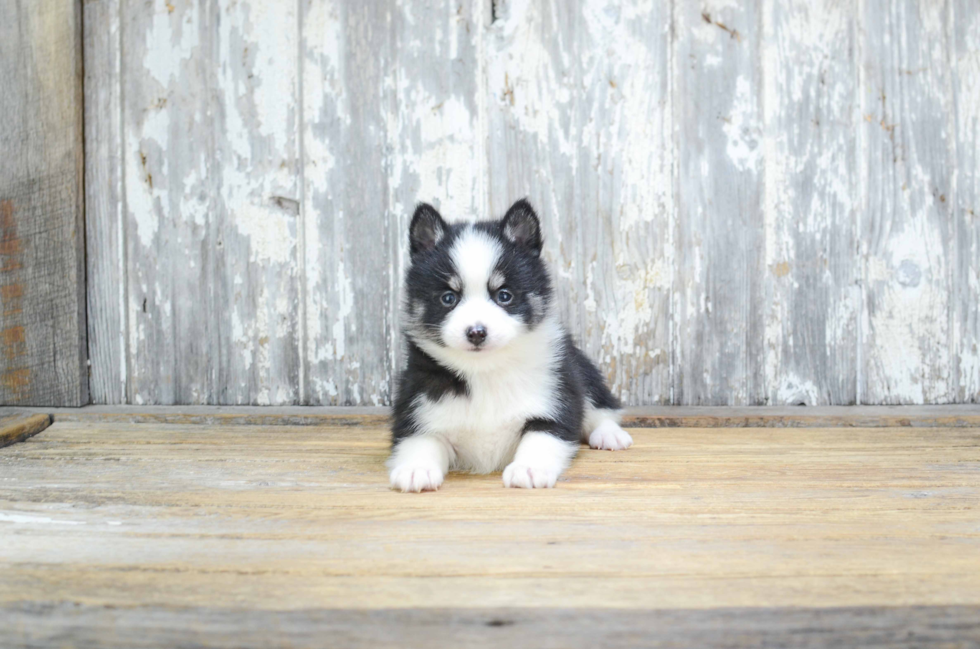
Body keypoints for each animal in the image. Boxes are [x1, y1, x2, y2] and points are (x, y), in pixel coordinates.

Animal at [386, 197, 632, 492]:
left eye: (504, 296)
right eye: (448, 298)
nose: (476, 332)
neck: (485, 372)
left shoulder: (557, 400)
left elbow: (542, 437)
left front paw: (529, 468)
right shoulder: (417, 404)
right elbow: (420, 440)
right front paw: (416, 468)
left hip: (580, 369)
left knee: (600, 407)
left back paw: (609, 434)